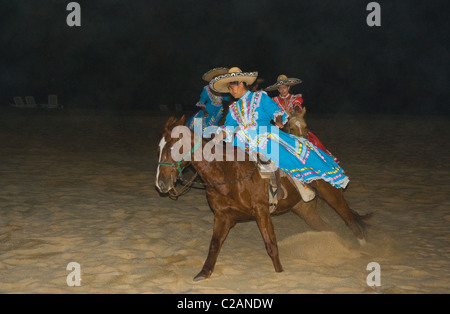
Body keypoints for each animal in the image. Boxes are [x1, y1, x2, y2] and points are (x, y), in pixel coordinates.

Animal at [155, 114, 370, 280]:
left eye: (174, 147)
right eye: (159, 148)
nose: (161, 183)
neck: (228, 173)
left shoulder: (261, 211)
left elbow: (271, 245)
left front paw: (280, 272)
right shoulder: (222, 216)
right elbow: (214, 245)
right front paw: (203, 273)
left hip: (333, 194)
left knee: (350, 221)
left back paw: (363, 247)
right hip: (304, 209)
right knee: (326, 228)